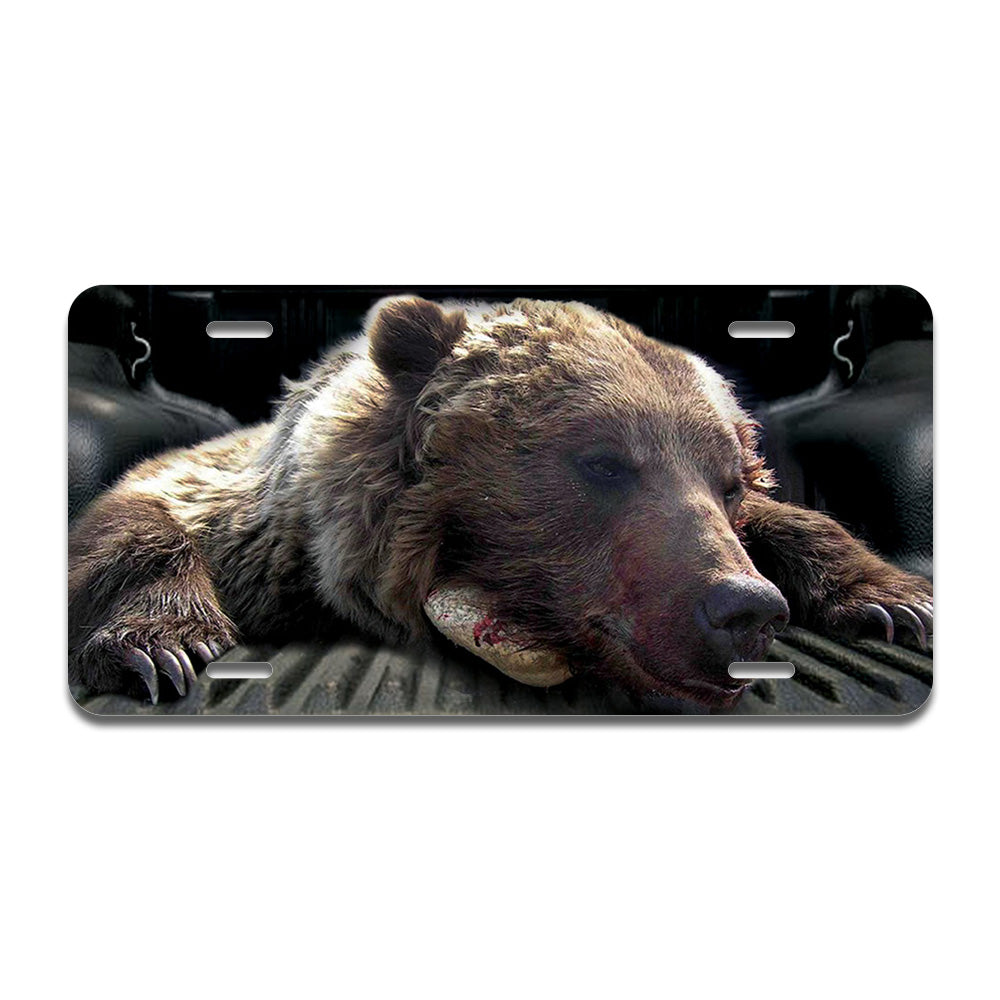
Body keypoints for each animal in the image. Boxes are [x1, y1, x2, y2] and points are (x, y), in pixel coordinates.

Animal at [68, 296, 933, 710]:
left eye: (732, 481)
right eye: (603, 462)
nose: (744, 608)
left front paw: (893, 599)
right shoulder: (255, 526)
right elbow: (140, 507)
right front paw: (162, 642)